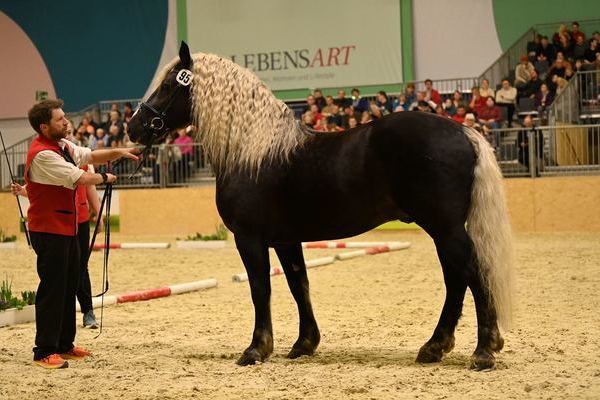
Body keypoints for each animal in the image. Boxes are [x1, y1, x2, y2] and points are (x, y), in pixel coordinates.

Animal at [129, 42, 512, 370]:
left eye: (168, 85)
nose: (134, 127)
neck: (252, 152)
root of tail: (465, 133)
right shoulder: (286, 240)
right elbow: (299, 285)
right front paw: (304, 344)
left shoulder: (249, 239)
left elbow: (260, 289)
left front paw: (255, 350)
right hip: (442, 231)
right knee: (457, 279)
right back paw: (435, 347)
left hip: (445, 229)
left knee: (473, 274)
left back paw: (483, 351)